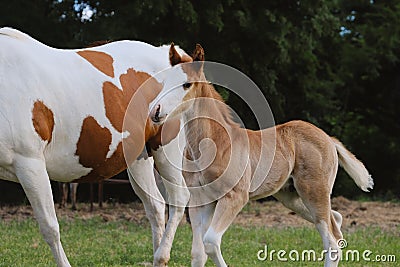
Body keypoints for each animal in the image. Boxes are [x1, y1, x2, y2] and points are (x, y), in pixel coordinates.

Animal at [0, 27, 191, 267]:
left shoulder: (29, 164)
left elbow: (50, 228)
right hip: (139, 159)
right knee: (155, 207)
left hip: (167, 152)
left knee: (179, 199)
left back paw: (162, 254)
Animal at [150, 45, 372, 266]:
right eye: (165, 81)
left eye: (187, 84)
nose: (155, 111)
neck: (215, 143)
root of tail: (328, 138)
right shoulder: (200, 201)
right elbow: (198, 253)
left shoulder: (235, 196)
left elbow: (210, 242)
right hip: (292, 197)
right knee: (336, 221)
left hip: (314, 191)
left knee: (331, 239)